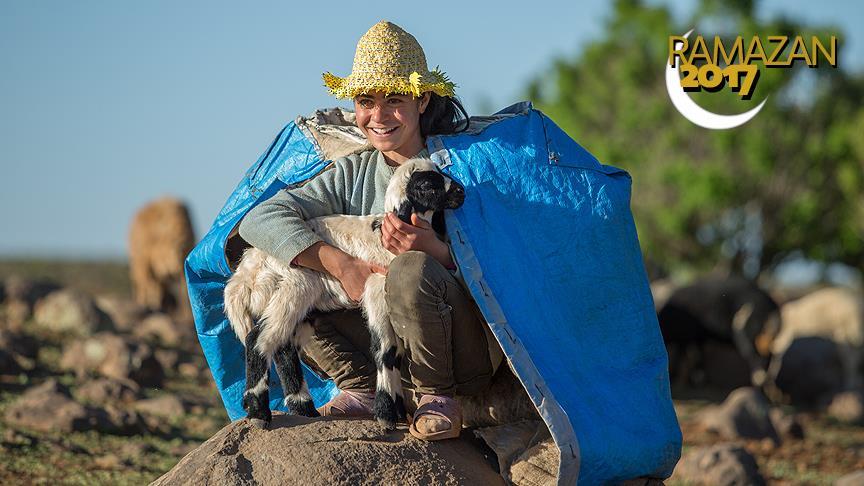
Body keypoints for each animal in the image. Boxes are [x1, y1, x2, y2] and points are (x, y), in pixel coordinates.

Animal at [224, 158, 466, 428]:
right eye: (426, 185)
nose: (461, 192)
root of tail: (245, 273)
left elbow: (396, 352)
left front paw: (397, 410)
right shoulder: (375, 288)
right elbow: (386, 349)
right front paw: (386, 413)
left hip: (299, 305)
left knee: (283, 347)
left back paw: (303, 408)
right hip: (294, 286)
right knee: (257, 339)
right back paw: (258, 412)